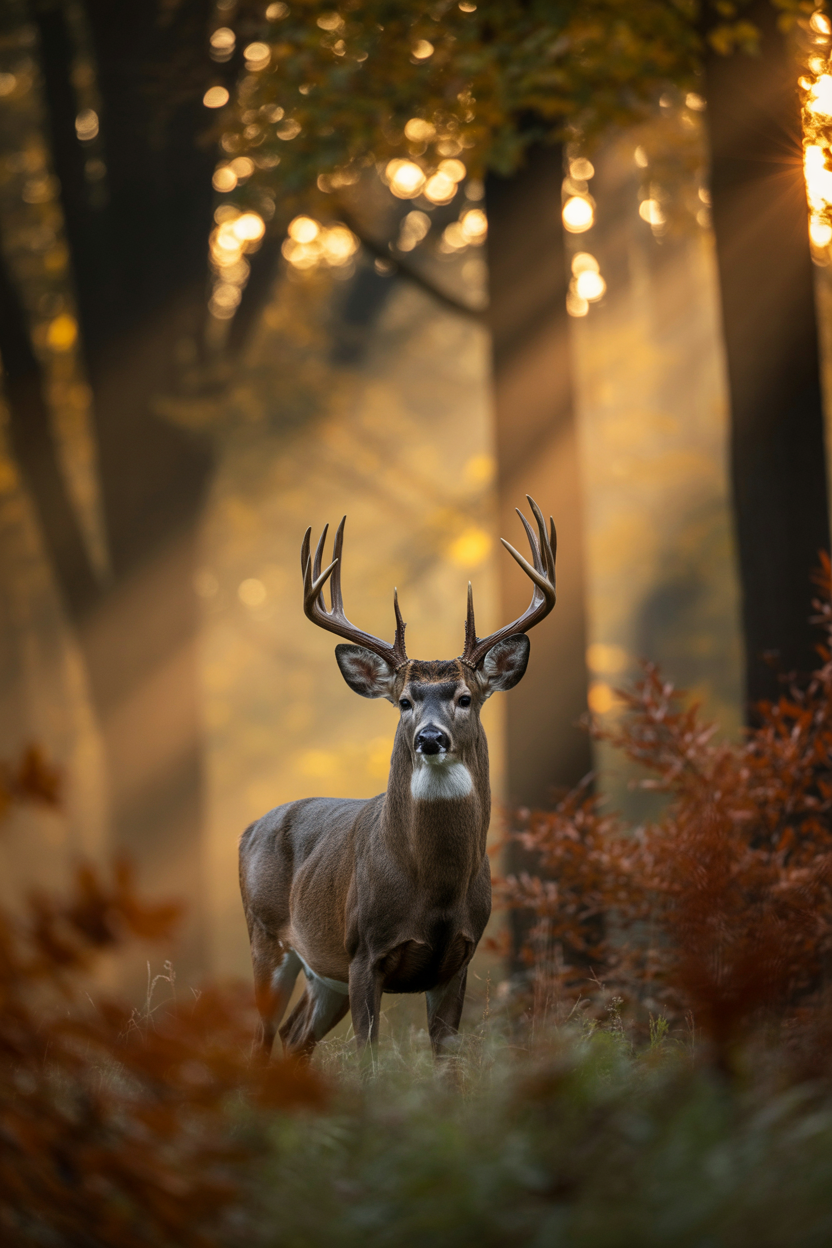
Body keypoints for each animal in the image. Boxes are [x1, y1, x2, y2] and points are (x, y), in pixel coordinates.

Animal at [239, 496, 556, 1064]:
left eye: (466, 698)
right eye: (405, 702)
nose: (430, 737)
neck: (433, 888)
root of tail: (247, 829)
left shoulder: (459, 958)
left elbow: (448, 1061)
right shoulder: (363, 952)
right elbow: (368, 1057)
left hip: (323, 975)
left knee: (296, 1038)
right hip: (267, 938)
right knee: (261, 1040)